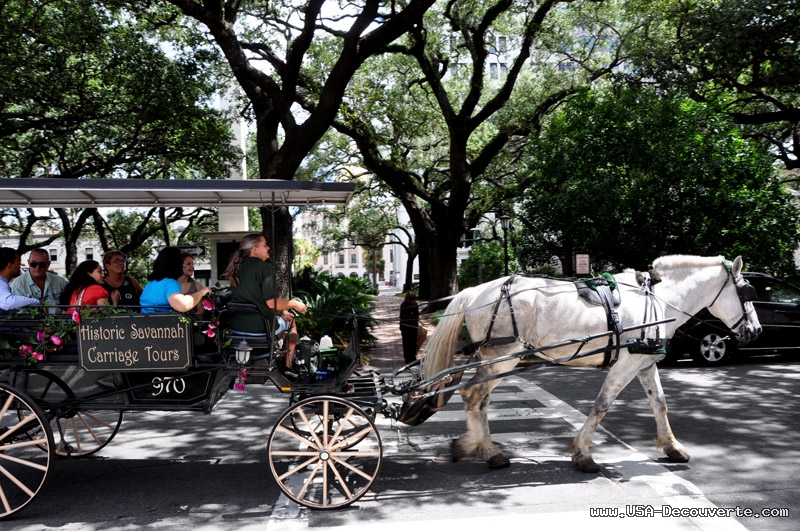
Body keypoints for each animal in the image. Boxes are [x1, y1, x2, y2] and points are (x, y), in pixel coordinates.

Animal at [420, 255, 761, 472]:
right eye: (747, 292)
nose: (756, 330)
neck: (657, 301)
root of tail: (477, 290)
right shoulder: (625, 365)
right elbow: (601, 405)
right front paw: (583, 453)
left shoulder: (644, 364)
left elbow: (660, 404)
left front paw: (672, 447)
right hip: (503, 359)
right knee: (473, 396)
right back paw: (483, 449)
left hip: (497, 361)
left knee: (479, 400)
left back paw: (485, 448)